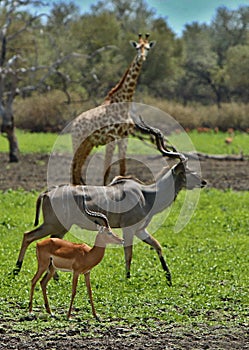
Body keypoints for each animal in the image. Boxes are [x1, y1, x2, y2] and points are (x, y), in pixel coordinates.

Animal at [70, 33, 156, 185]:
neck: (124, 104)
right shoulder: (112, 138)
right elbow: (107, 169)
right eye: (137, 47)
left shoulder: (124, 138)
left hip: (88, 144)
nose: (142, 57)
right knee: (74, 168)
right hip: (78, 141)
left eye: (147, 48)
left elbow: (122, 168)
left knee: (77, 168)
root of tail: (73, 124)